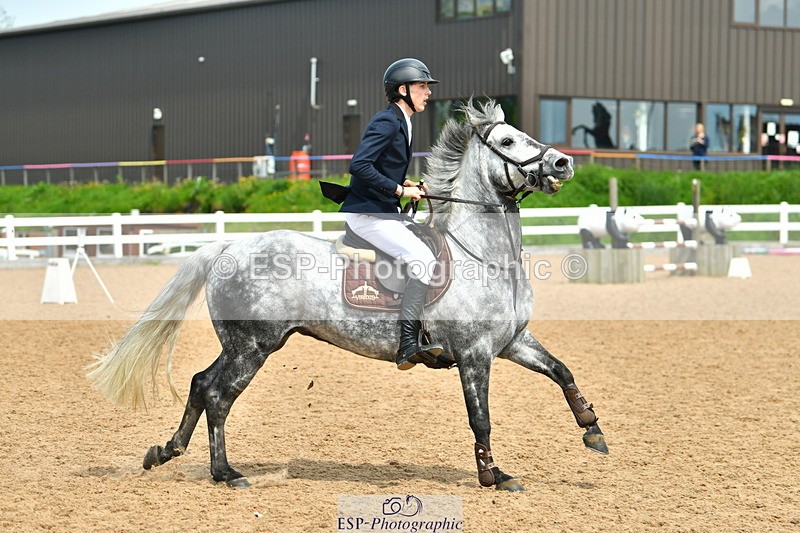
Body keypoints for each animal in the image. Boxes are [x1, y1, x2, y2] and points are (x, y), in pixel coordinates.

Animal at [88, 99, 608, 492]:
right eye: (507, 141)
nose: (563, 163)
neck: (481, 254)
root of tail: (228, 246)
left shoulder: (513, 342)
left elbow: (563, 371)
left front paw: (593, 431)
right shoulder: (475, 353)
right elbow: (481, 419)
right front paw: (493, 475)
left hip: (243, 344)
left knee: (200, 383)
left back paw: (167, 452)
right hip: (253, 346)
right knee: (218, 394)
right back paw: (225, 473)